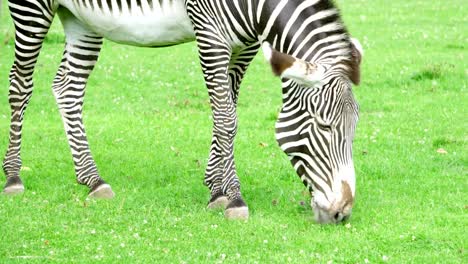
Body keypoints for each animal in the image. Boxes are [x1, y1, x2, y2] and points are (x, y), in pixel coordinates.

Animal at [2, 0, 362, 223]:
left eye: (354, 129)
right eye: (324, 126)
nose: (342, 212)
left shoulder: (244, 44)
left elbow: (227, 109)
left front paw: (215, 187)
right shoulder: (210, 35)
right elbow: (226, 117)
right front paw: (234, 197)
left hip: (81, 18)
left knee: (68, 86)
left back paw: (92, 179)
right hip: (32, 10)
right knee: (20, 84)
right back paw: (14, 177)